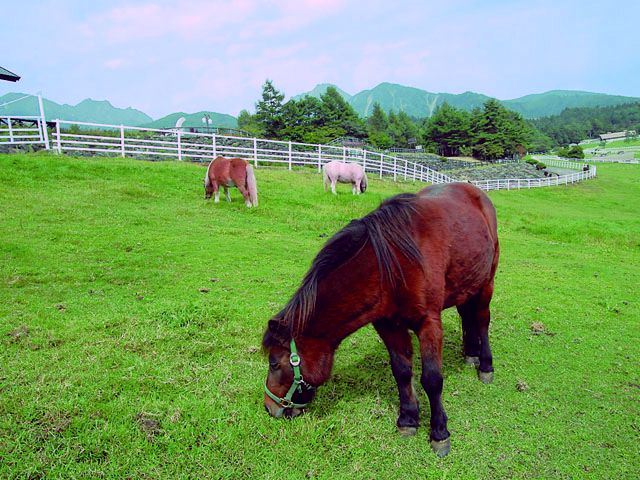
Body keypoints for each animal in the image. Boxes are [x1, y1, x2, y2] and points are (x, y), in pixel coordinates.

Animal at [262, 182, 500, 456]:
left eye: (274, 363)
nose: (269, 406)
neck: (393, 266)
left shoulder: (429, 323)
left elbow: (432, 379)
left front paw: (439, 432)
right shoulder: (387, 325)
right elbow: (401, 371)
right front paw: (408, 419)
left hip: (487, 283)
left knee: (482, 320)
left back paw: (485, 365)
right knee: (467, 315)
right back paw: (471, 353)